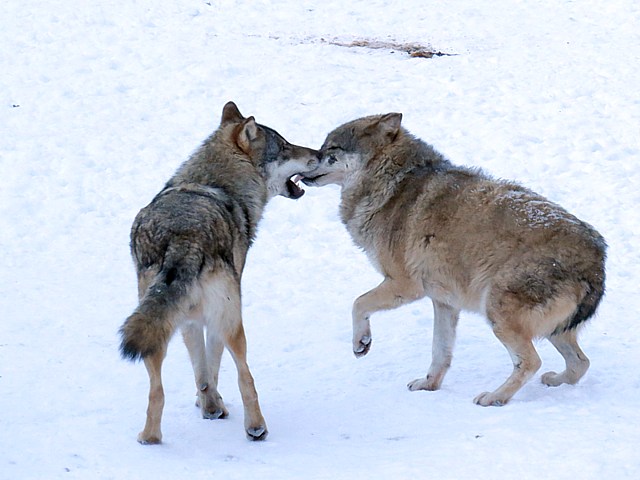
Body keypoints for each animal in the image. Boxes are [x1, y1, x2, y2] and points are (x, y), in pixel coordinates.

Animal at [119, 101, 318, 442]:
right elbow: (213, 366)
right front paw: (214, 407)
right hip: (232, 322)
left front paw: (209, 406)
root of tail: (184, 236)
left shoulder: (188, 321)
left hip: (153, 325)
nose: (318, 153)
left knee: (156, 391)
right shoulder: (213, 322)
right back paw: (256, 428)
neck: (218, 183)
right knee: (245, 376)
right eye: (285, 147)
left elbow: (201, 373)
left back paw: (150, 438)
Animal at [302, 111, 608, 404]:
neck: (393, 182)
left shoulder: (405, 286)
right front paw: (429, 385)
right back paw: (555, 382)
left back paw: (494, 398)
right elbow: (440, 351)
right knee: (581, 363)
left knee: (532, 362)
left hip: (496, 312)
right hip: (548, 329)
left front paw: (361, 342)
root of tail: (596, 260)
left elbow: (358, 304)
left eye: (331, 148)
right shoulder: (444, 302)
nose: (308, 159)